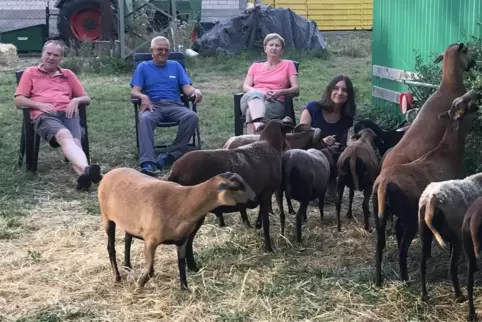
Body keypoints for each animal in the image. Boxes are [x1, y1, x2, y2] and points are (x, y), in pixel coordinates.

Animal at [97, 167, 256, 290]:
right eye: (235, 187)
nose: (255, 200)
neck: (184, 202)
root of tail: (109, 173)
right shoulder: (150, 240)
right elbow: (151, 270)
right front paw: (139, 286)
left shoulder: (182, 240)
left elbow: (181, 264)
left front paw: (184, 288)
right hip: (107, 218)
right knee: (110, 248)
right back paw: (117, 277)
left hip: (130, 223)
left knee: (127, 238)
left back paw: (127, 265)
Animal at [370, 42, 476, 286]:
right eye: (467, 52)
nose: (475, 63)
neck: (449, 83)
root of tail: (383, 175)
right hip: (407, 216)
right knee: (401, 242)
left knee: (381, 243)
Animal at [418, 171, 482, 304]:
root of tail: (431, 200)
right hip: (457, 237)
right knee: (452, 267)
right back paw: (459, 296)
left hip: (424, 233)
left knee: (422, 263)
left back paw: (424, 295)